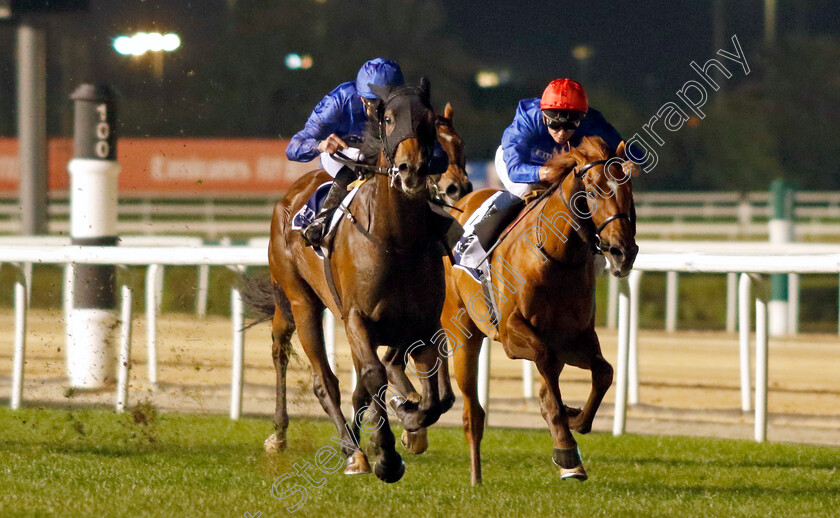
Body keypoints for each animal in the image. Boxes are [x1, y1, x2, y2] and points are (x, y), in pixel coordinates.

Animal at [248, 79, 452, 486]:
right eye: (388, 119)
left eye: (428, 118)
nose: (411, 170)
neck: (396, 240)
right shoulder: (357, 317)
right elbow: (374, 376)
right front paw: (385, 455)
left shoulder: (422, 323)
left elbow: (434, 396)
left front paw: (408, 420)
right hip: (300, 301)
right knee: (317, 375)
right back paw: (343, 448)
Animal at [446, 136, 636, 486]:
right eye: (591, 191)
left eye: (627, 188)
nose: (622, 253)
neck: (556, 256)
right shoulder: (512, 334)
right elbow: (547, 368)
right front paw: (566, 447)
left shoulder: (573, 338)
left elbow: (603, 372)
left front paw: (574, 421)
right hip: (462, 333)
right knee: (471, 411)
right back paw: (475, 476)